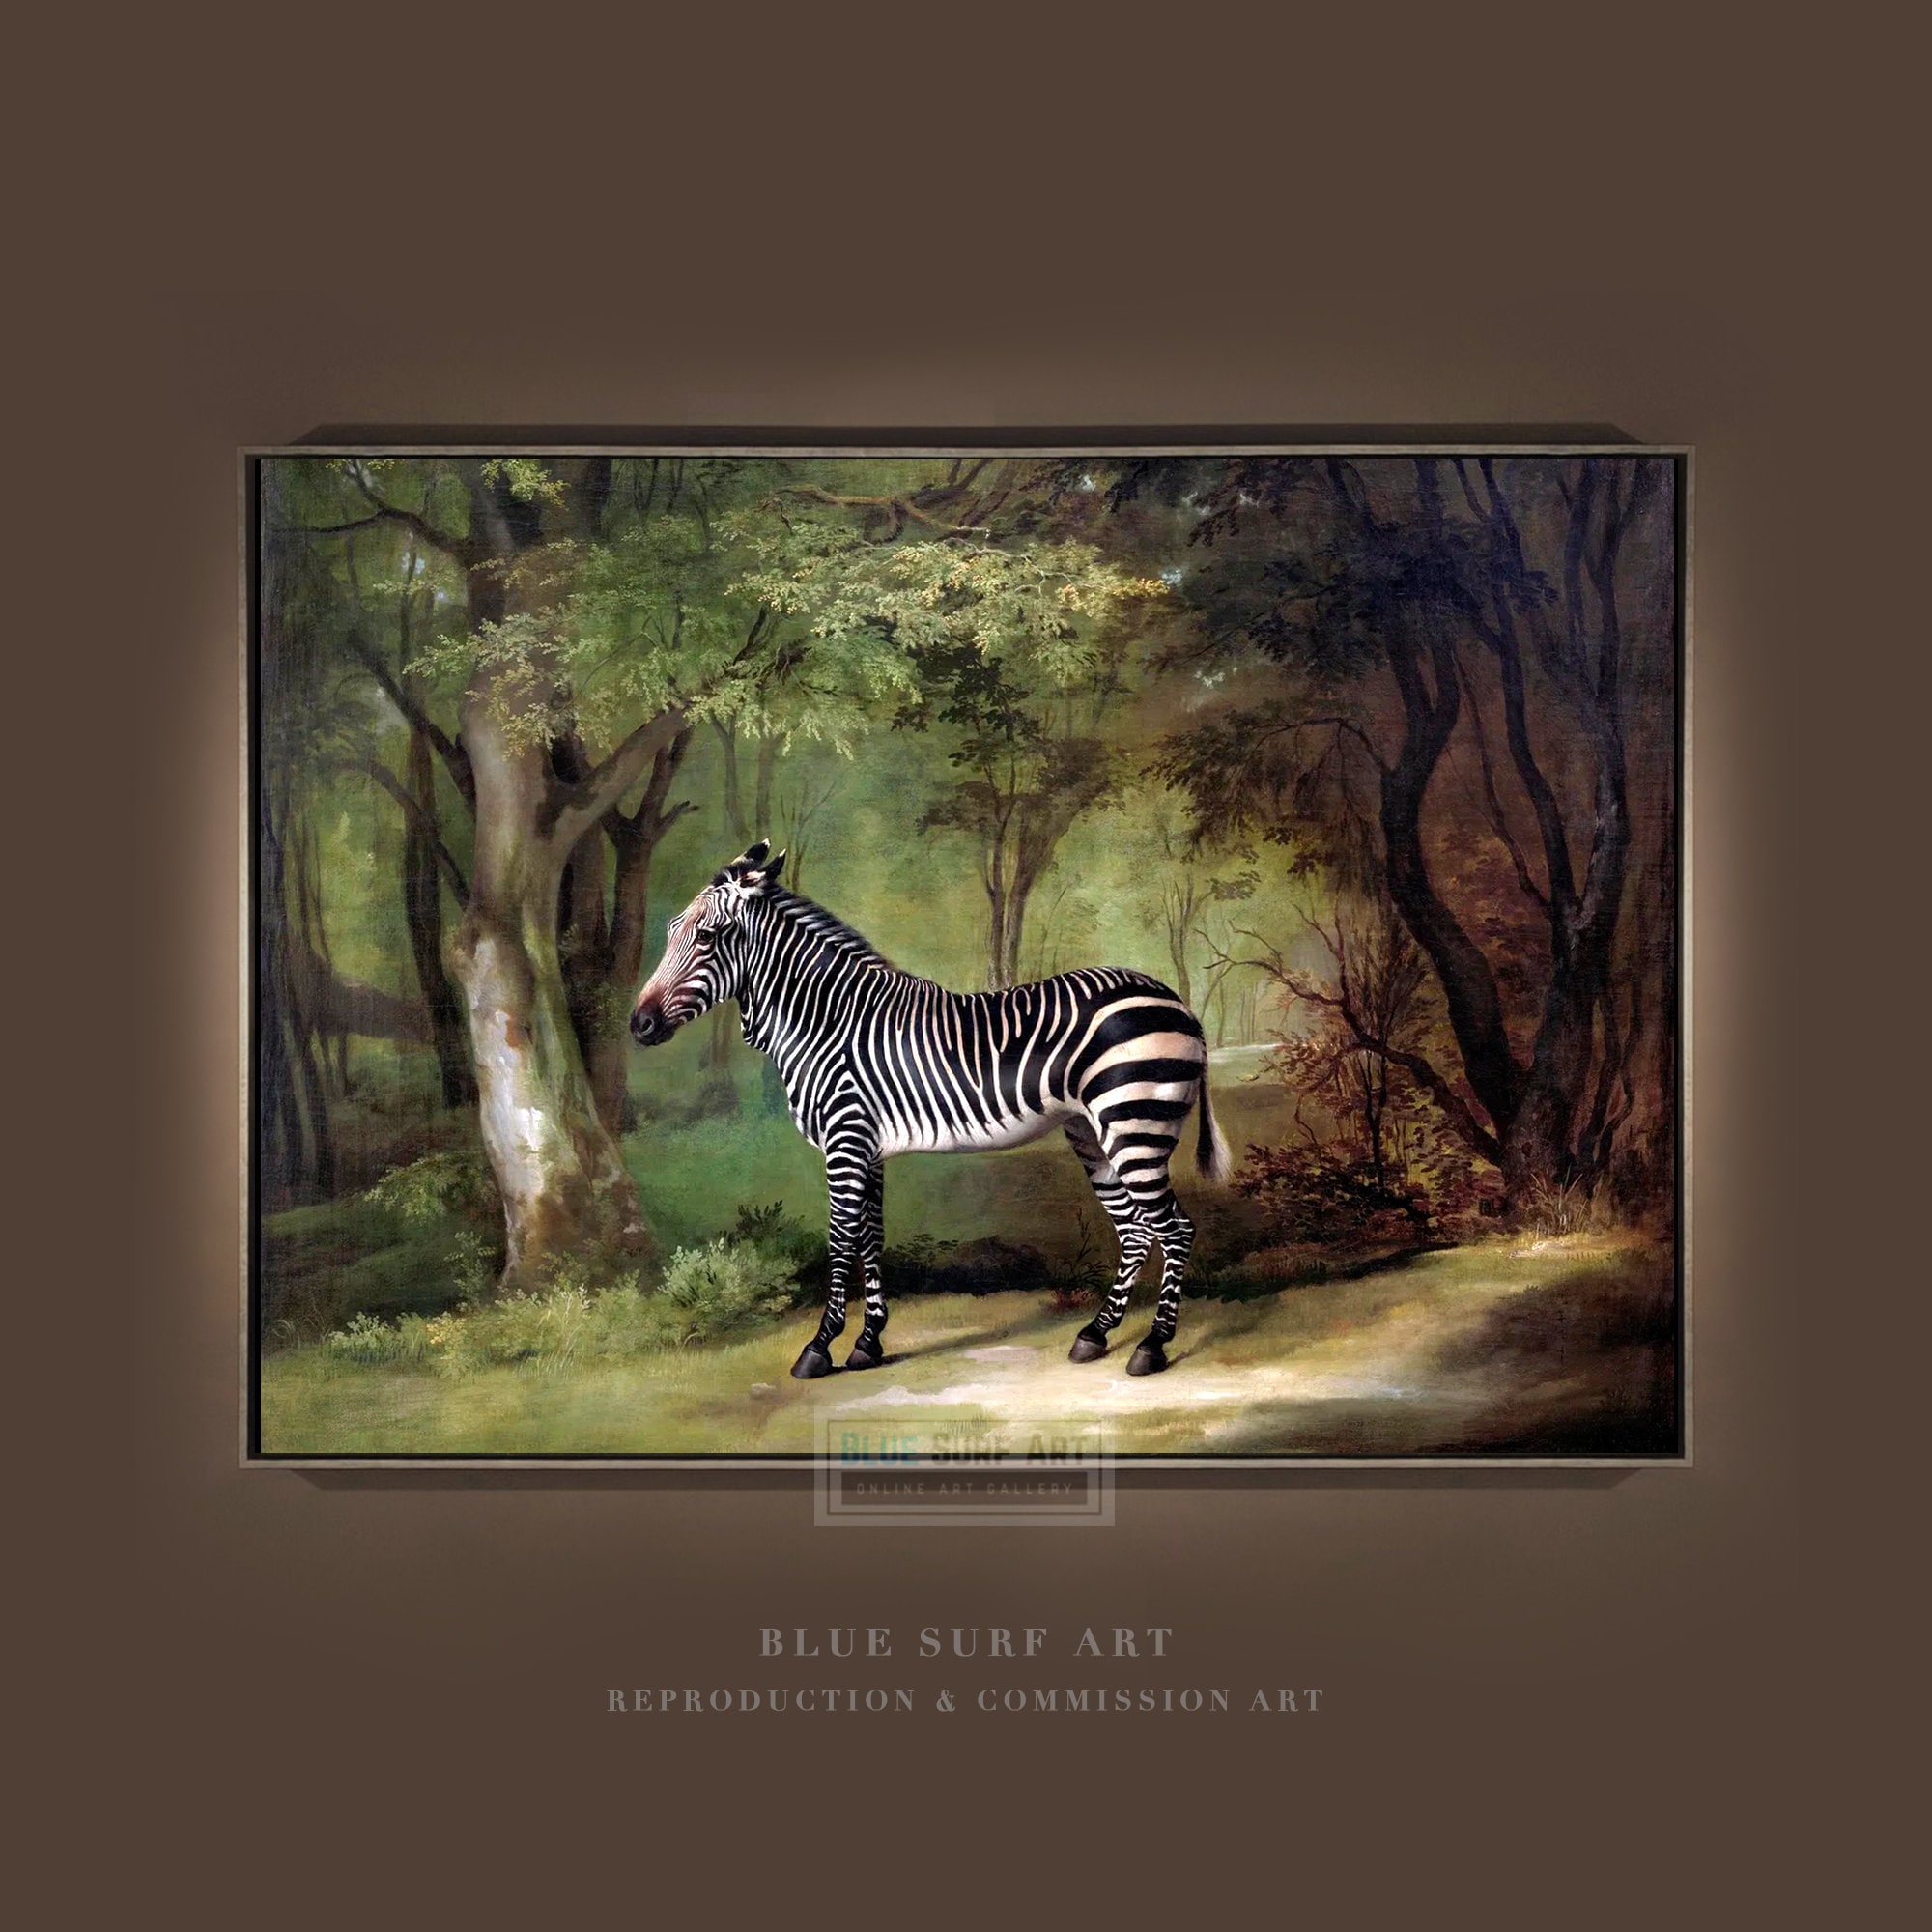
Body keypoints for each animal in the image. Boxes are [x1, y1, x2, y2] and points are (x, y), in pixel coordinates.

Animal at [631, 843, 1231, 1381]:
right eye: (671, 932)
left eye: (707, 938)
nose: (638, 1025)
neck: (825, 1019)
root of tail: (1177, 1001)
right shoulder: (867, 1147)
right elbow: (870, 1239)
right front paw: (868, 1343)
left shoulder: (845, 1141)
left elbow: (840, 1241)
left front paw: (819, 1348)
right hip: (1092, 1132)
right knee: (1135, 1231)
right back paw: (1095, 1335)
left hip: (1135, 1125)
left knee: (1174, 1229)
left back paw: (1152, 1346)